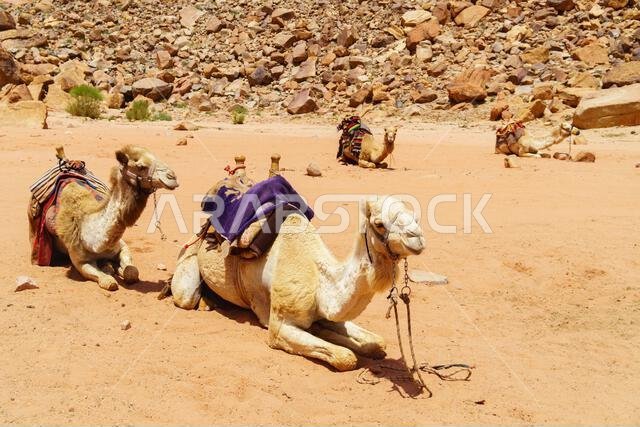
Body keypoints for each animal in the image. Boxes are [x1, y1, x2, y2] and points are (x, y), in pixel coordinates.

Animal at [31, 145, 178, 290]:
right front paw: (110, 272)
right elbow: (108, 282)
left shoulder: (122, 246)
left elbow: (131, 272)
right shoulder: (80, 262)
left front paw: (118, 269)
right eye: (141, 166)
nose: (173, 177)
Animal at [170, 172, 425, 370]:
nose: (418, 238)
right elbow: (345, 357)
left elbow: (377, 343)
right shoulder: (278, 327)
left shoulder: (327, 312)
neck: (318, 277)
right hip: (187, 262)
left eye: (414, 216)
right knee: (185, 297)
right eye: (379, 224)